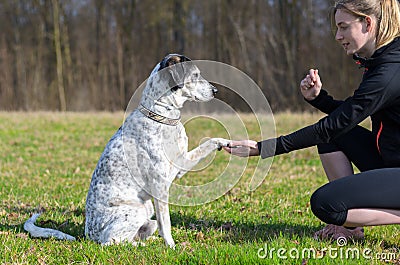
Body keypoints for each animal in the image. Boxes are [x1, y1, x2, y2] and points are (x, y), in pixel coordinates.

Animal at [24, 54, 231, 248]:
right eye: (195, 75)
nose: (216, 91)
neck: (161, 116)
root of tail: (88, 236)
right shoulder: (160, 185)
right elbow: (166, 224)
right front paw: (171, 247)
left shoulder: (181, 165)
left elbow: (208, 143)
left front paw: (225, 142)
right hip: (136, 211)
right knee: (112, 242)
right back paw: (141, 246)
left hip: (147, 212)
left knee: (134, 235)